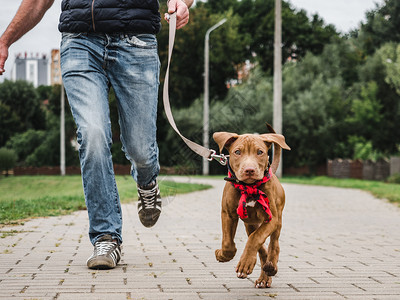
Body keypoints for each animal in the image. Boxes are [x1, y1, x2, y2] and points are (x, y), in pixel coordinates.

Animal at [214, 125, 290, 288]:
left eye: (260, 152)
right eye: (237, 152)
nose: (249, 170)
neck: (249, 187)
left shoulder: (271, 219)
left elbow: (256, 239)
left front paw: (245, 263)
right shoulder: (228, 214)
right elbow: (228, 243)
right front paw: (223, 255)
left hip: (278, 219)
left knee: (273, 244)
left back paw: (270, 266)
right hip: (250, 223)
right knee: (260, 246)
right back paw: (264, 275)